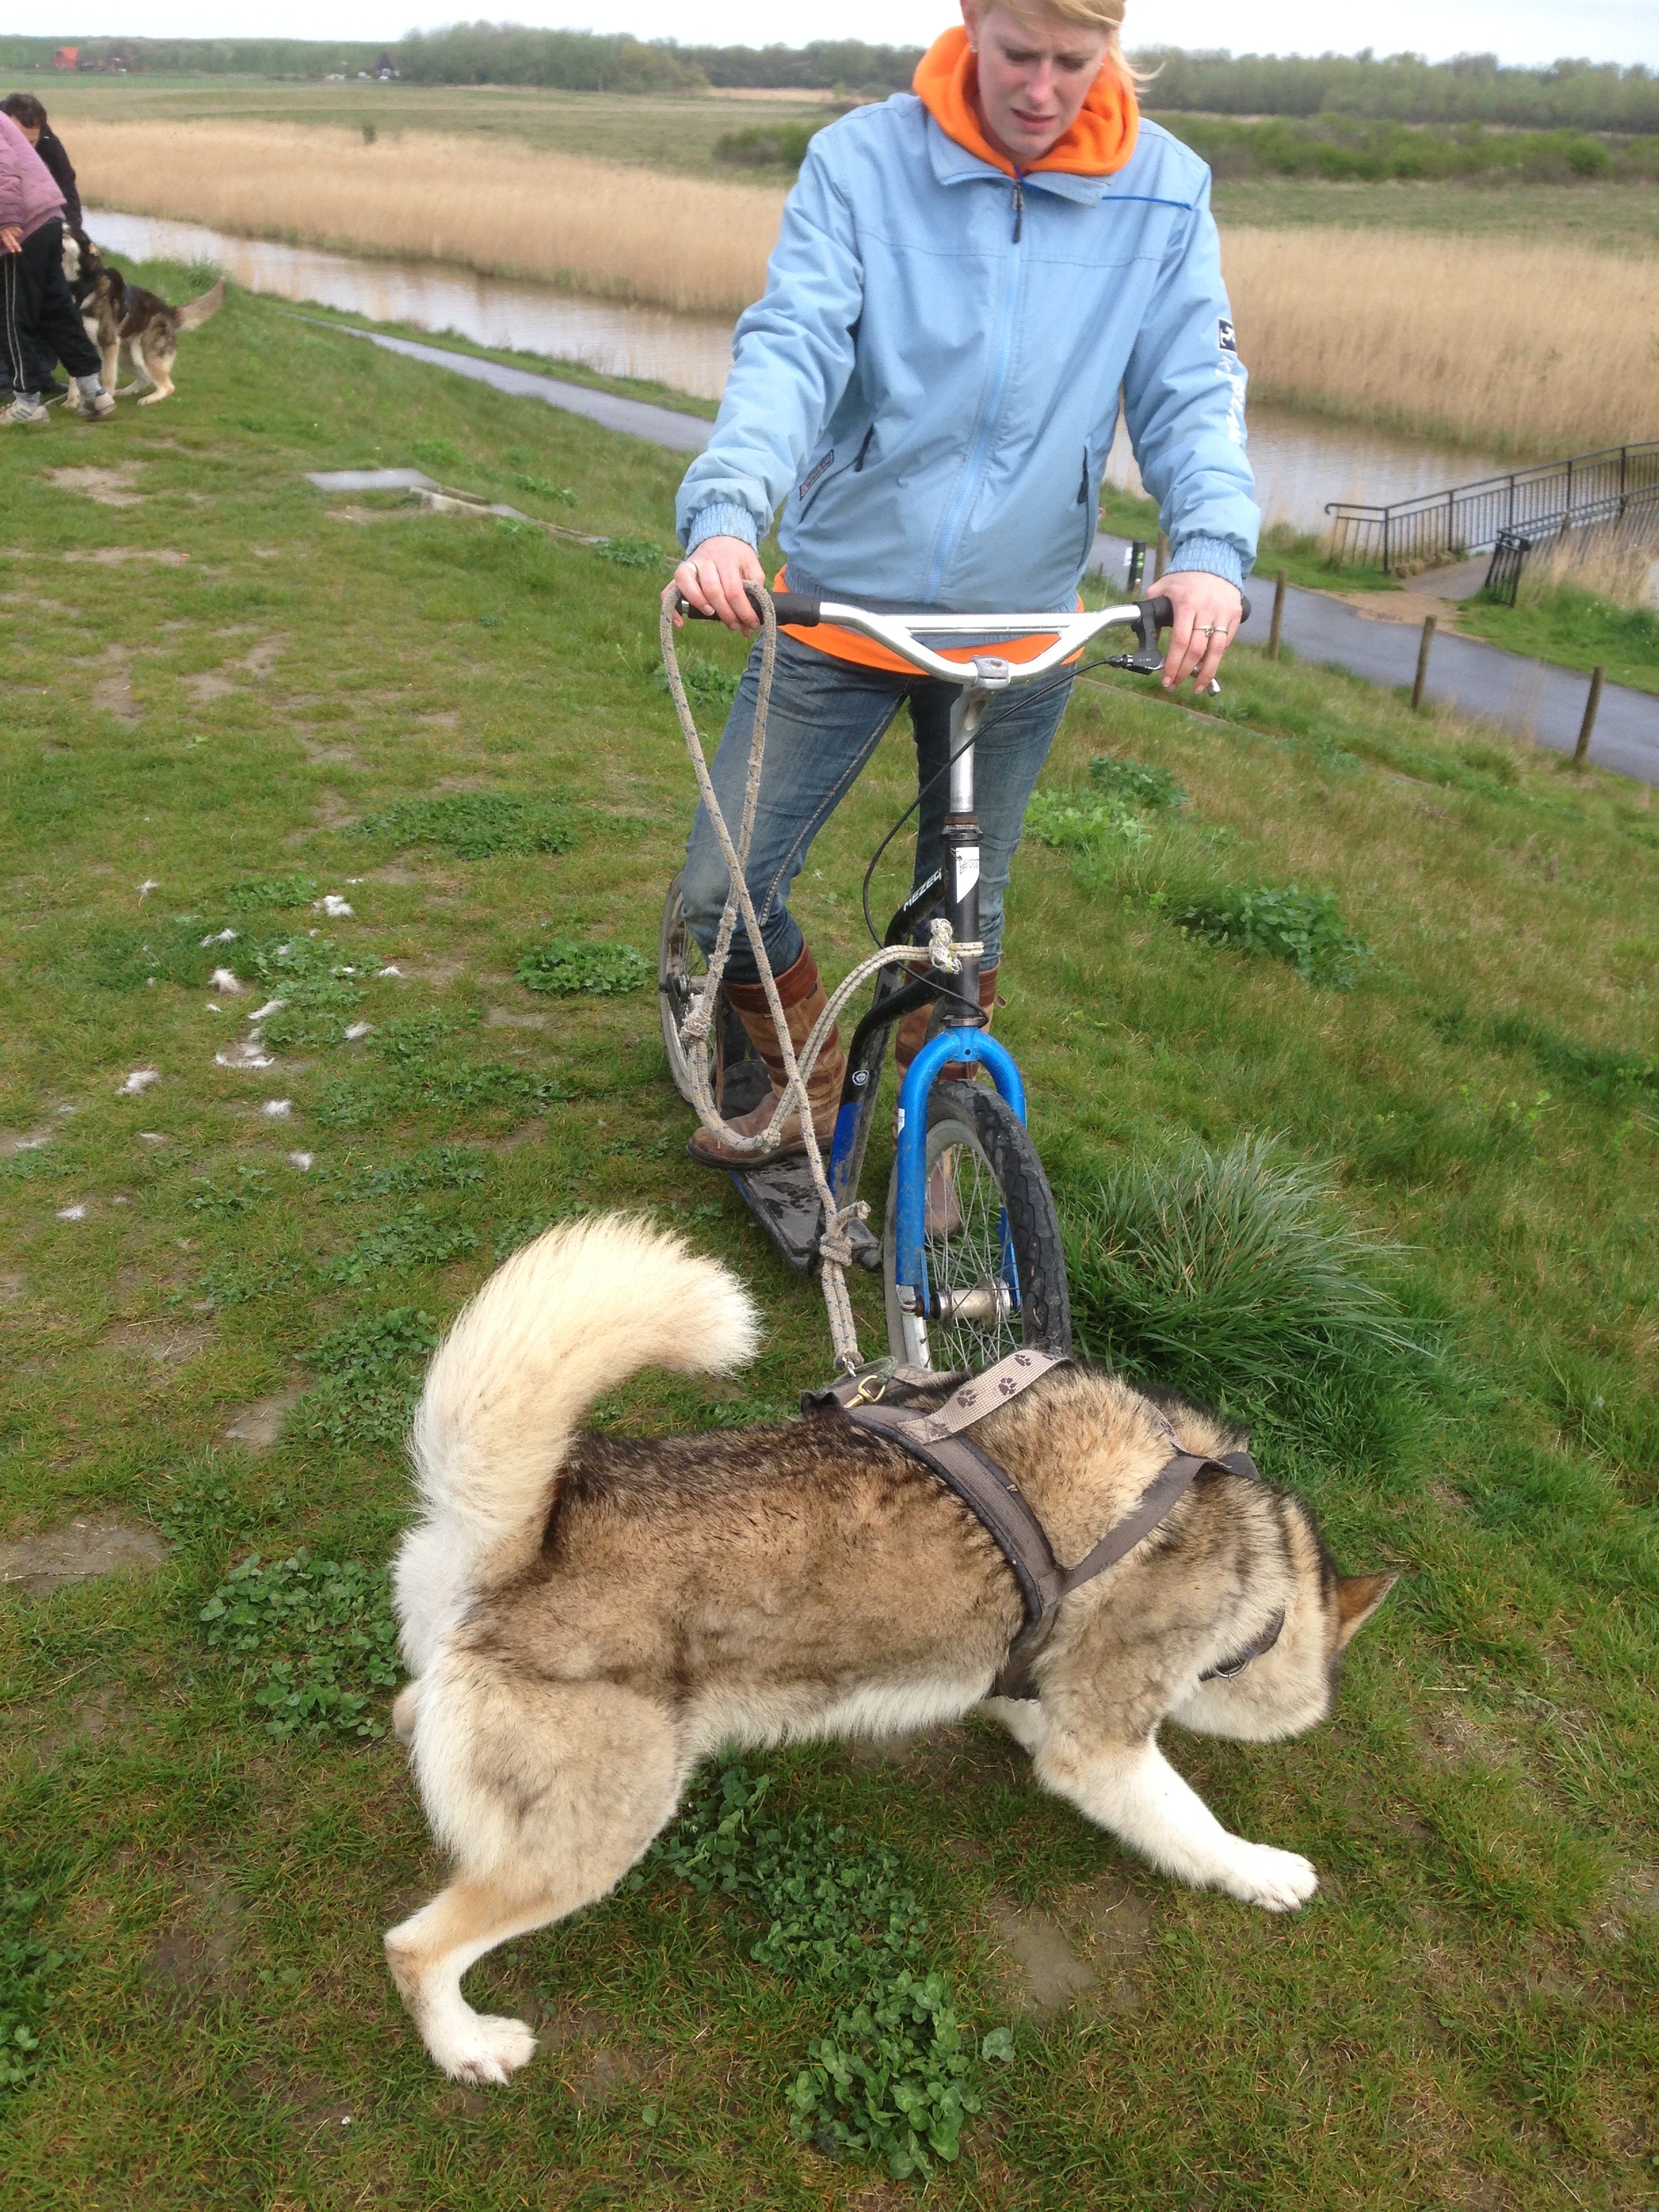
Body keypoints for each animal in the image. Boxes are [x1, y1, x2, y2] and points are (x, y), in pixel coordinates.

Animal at [61, 228, 223, 407]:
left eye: (67, 233)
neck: (80, 288)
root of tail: (168, 310)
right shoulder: (75, 343)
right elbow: (74, 379)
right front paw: (72, 401)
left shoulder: (108, 342)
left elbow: (108, 378)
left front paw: (107, 401)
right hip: (125, 356)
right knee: (144, 379)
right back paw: (125, 392)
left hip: (140, 353)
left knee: (167, 386)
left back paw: (149, 399)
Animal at [385, 1215, 1397, 2085]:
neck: (1252, 1552)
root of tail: (521, 1539)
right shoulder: (1104, 1747)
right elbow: (1193, 1826)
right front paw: (1265, 1872)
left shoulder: (1037, 1689)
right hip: (596, 1838)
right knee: (413, 1948)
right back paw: (466, 2048)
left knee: (409, 1720)